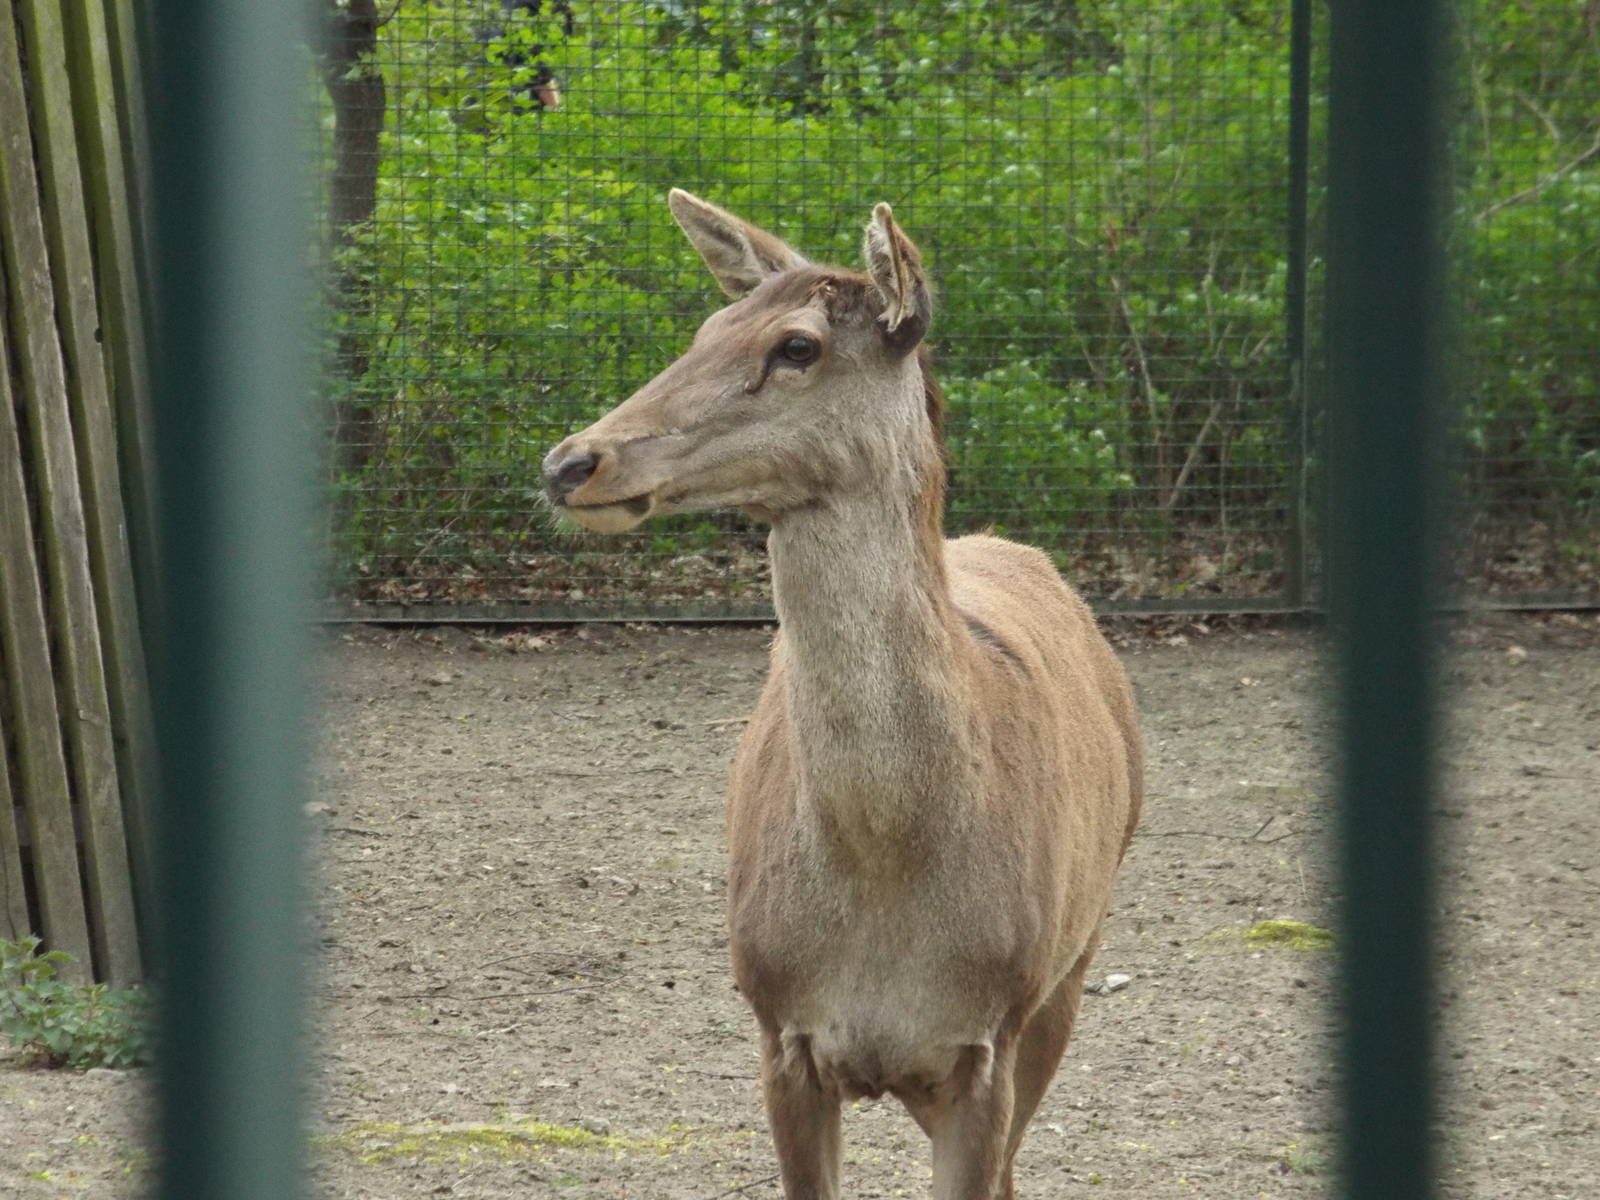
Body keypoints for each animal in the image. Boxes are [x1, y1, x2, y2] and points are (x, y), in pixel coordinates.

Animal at [541, 191, 1144, 1200]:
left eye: (797, 346)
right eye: (707, 329)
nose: (570, 463)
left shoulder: (991, 1038)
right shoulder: (778, 1030)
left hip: (1076, 958)